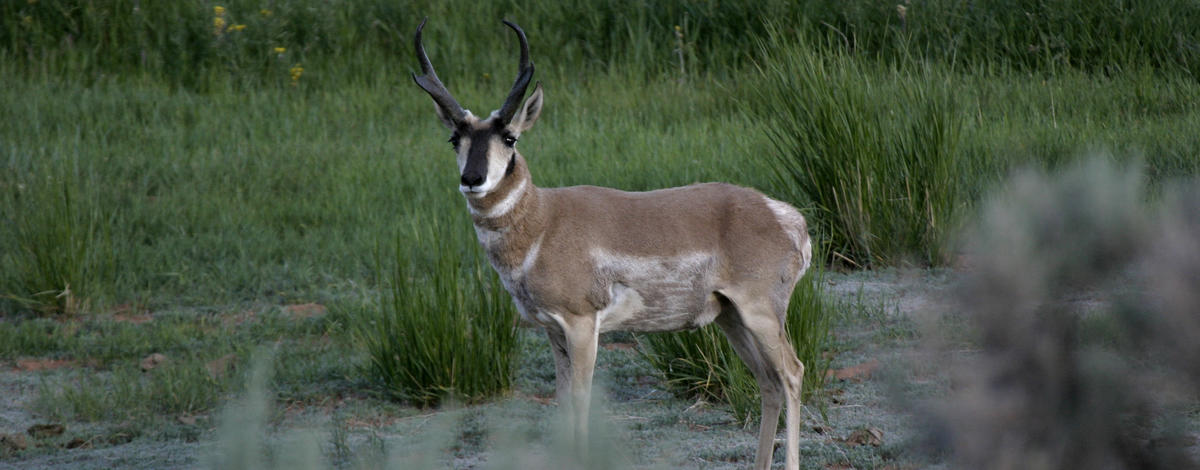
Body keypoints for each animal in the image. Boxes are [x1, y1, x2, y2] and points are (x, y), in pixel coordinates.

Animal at [412, 18, 816, 470]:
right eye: (455, 139)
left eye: (510, 138)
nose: (473, 178)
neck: (544, 221)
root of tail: (785, 215)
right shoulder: (553, 332)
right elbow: (562, 405)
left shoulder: (583, 326)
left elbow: (581, 406)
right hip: (732, 318)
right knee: (768, 382)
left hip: (760, 313)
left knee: (792, 372)